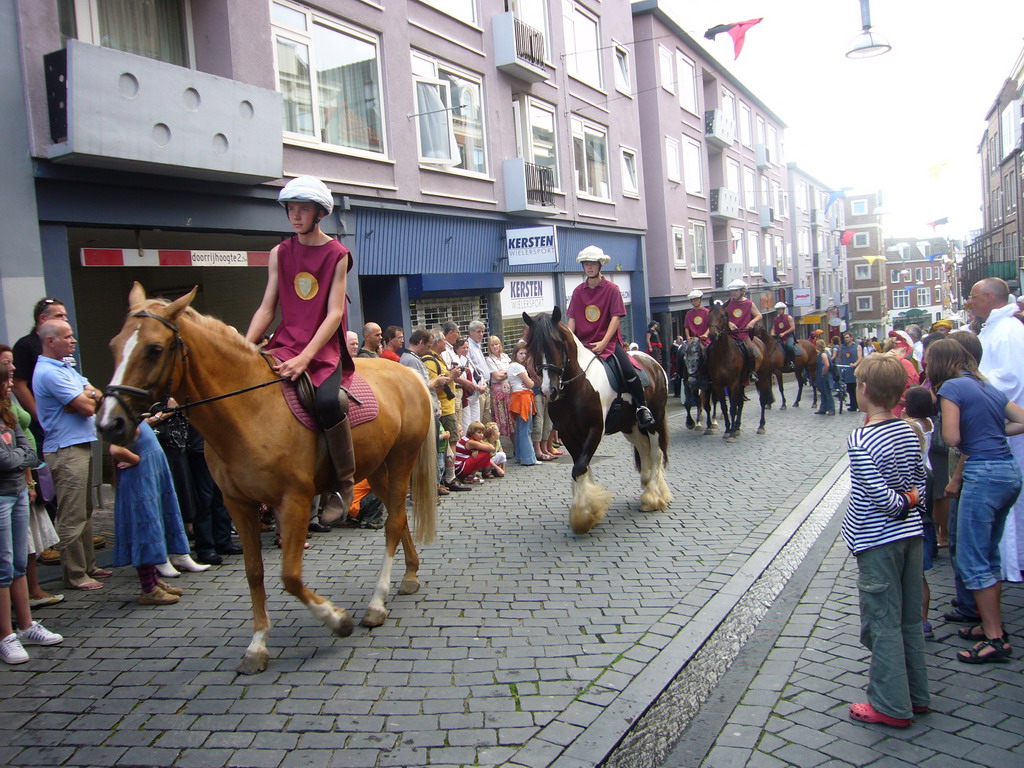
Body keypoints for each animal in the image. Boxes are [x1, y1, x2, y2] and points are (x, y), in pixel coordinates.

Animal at [99, 286, 440, 675]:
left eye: (154, 349)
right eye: (114, 345)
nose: (109, 423)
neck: (250, 409)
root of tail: (408, 375)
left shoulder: (293, 500)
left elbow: (289, 576)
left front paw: (336, 619)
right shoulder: (238, 504)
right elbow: (254, 571)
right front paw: (258, 645)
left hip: (400, 460)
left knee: (394, 522)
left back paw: (376, 604)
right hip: (376, 468)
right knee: (397, 520)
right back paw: (409, 575)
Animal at [520, 309, 671, 536]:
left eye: (558, 343)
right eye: (533, 347)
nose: (548, 390)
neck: (577, 385)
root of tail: (653, 362)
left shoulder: (594, 431)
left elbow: (579, 468)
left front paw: (583, 515)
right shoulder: (568, 433)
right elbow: (581, 468)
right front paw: (590, 511)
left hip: (654, 421)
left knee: (656, 453)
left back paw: (655, 496)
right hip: (630, 426)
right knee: (644, 450)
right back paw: (647, 492)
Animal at [708, 305, 770, 442]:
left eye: (723, 316)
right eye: (709, 315)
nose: (712, 334)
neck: (723, 353)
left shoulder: (733, 383)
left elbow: (732, 407)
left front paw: (731, 433)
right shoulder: (718, 385)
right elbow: (725, 407)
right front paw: (728, 430)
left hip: (762, 378)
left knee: (762, 400)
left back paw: (761, 426)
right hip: (742, 382)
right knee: (741, 403)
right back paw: (737, 427)